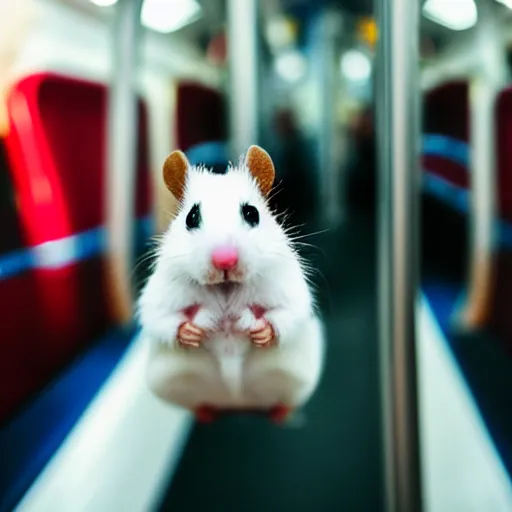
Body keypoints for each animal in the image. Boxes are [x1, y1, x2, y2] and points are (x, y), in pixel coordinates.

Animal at [137, 145, 324, 424]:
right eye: (191, 217)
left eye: (251, 213)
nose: (224, 259)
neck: (225, 287)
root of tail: (238, 404)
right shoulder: (159, 293)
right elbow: (162, 318)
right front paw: (192, 332)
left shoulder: (290, 289)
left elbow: (287, 314)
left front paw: (260, 332)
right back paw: (205, 412)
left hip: (297, 378)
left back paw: (280, 413)